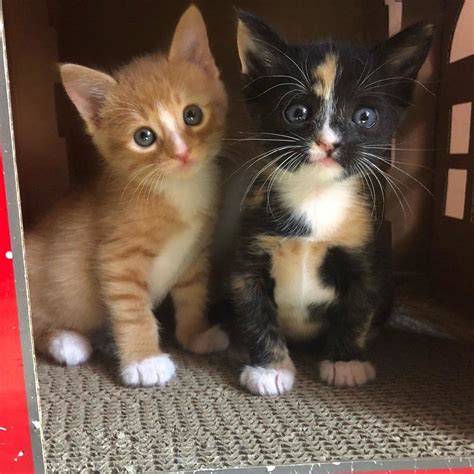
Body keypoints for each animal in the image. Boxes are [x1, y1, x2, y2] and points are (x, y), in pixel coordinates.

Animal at [25, 6, 230, 386]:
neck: (177, 189)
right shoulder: (117, 258)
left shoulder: (196, 253)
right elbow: (133, 311)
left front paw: (195, 334)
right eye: (144, 137)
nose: (182, 154)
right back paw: (65, 341)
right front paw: (144, 360)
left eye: (192, 114)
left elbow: (193, 294)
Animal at [230, 12, 434, 396]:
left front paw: (345, 362)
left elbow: (358, 309)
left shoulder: (365, 253)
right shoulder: (248, 254)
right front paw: (269, 368)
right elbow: (254, 311)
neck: (315, 195)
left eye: (365, 117)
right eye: (297, 111)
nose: (328, 142)